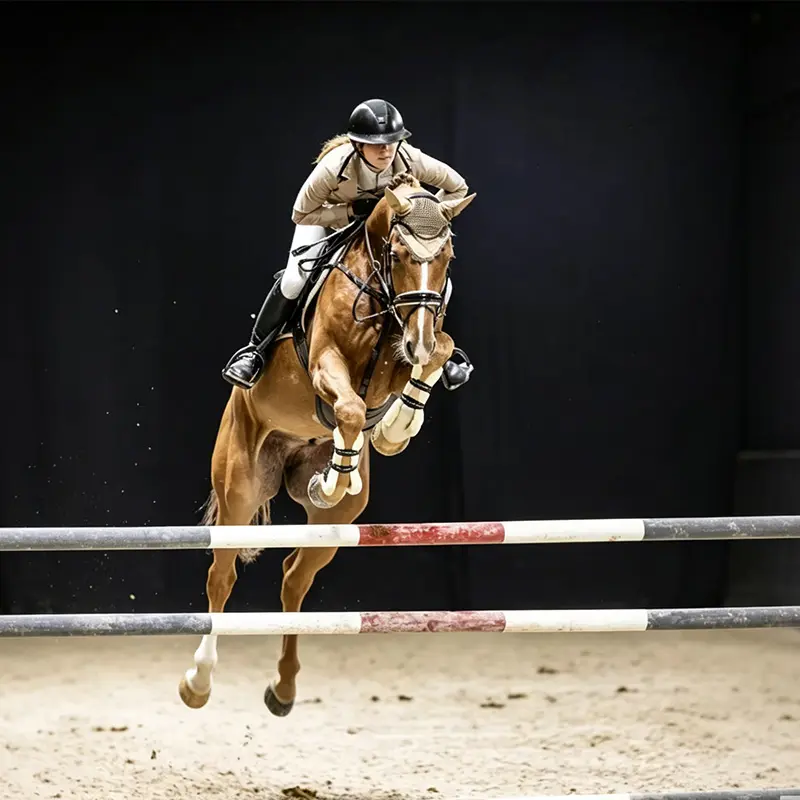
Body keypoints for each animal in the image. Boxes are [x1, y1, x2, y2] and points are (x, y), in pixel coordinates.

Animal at [178, 171, 475, 715]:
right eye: (399, 253)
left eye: (446, 256)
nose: (417, 338)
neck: (382, 294)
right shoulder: (325, 365)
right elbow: (352, 408)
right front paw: (352, 459)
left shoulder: (410, 348)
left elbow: (432, 358)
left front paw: (397, 427)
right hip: (239, 491)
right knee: (221, 577)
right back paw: (198, 682)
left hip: (337, 523)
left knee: (294, 576)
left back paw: (283, 688)